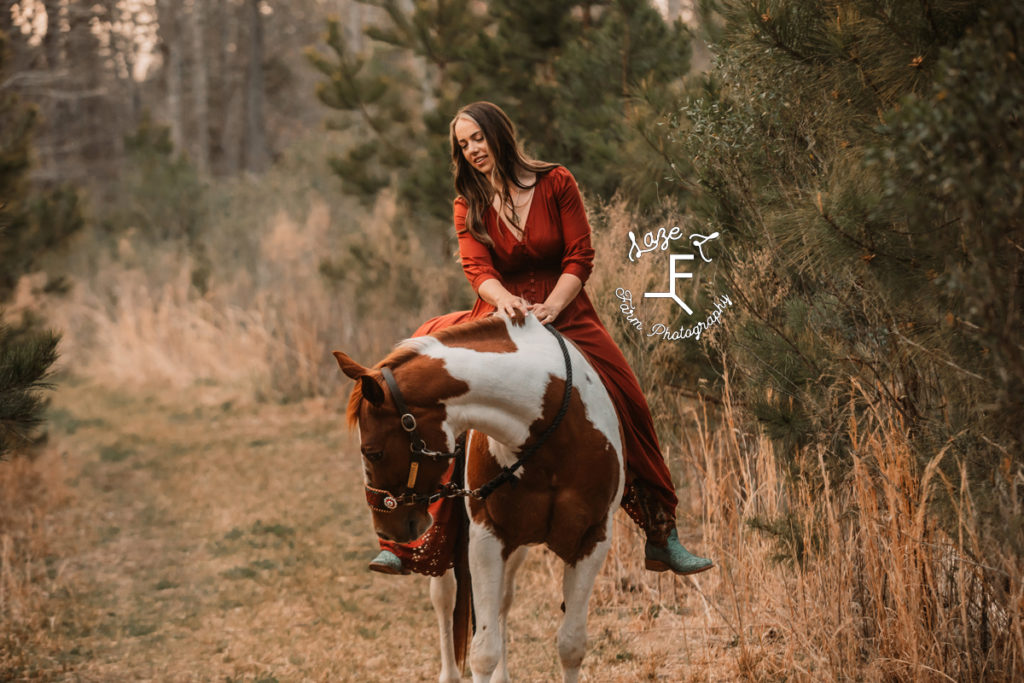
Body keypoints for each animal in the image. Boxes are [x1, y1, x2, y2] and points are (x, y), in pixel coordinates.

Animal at [335, 315, 622, 683]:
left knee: (502, 601)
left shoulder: (592, 540)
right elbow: (483, 652)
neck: (555, 433)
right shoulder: (487, 537)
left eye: (373, 452)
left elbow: (571, 645)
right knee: (444, 598)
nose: (386, 529)